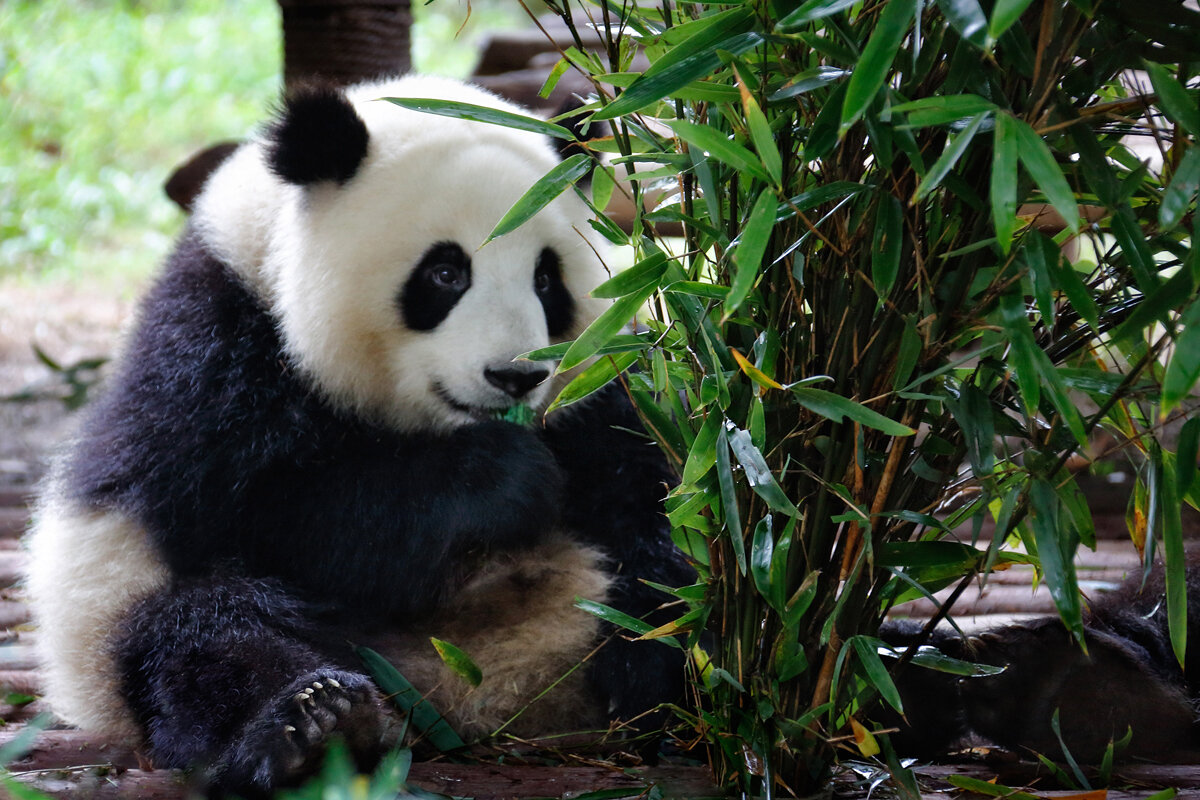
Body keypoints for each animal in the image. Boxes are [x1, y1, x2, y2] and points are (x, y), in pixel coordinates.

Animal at [25, 74, 696, 796]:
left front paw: (652, 652)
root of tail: (465, 694)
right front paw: (505, 475)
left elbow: (648, 498)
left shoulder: (601, 380)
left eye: (547, 279)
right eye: (445, 272)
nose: (515, 376)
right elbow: (282, 518)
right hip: (113, 621)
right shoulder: (215, 350)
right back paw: (315, 722)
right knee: (200, 634)